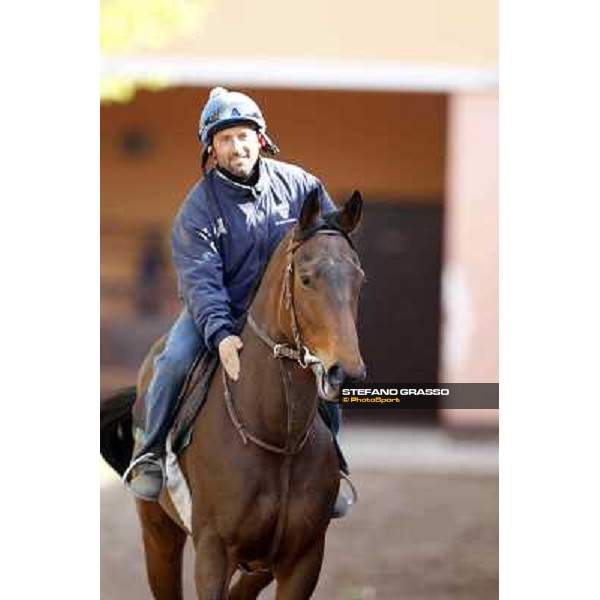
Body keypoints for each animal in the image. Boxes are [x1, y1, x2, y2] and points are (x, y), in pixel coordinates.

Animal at [99, 191, 366, 600]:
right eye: (306, 279)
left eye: (359, 278)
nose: (345, 372)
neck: (277, 439)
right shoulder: (213, 553)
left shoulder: (303, 559)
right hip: (158, 534)